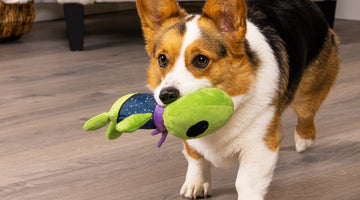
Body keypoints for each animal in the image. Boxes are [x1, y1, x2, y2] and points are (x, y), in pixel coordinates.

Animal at [136, 0, 340, 198]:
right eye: (162, 59)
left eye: (201, 60)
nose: (166, 95)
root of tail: (310, 4)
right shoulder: (190, 140)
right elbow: (196, 158)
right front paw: (197, 184)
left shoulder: (257, 147)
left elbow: (245, 182)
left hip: (308, 90)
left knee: (306, 114)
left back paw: (303, 140)